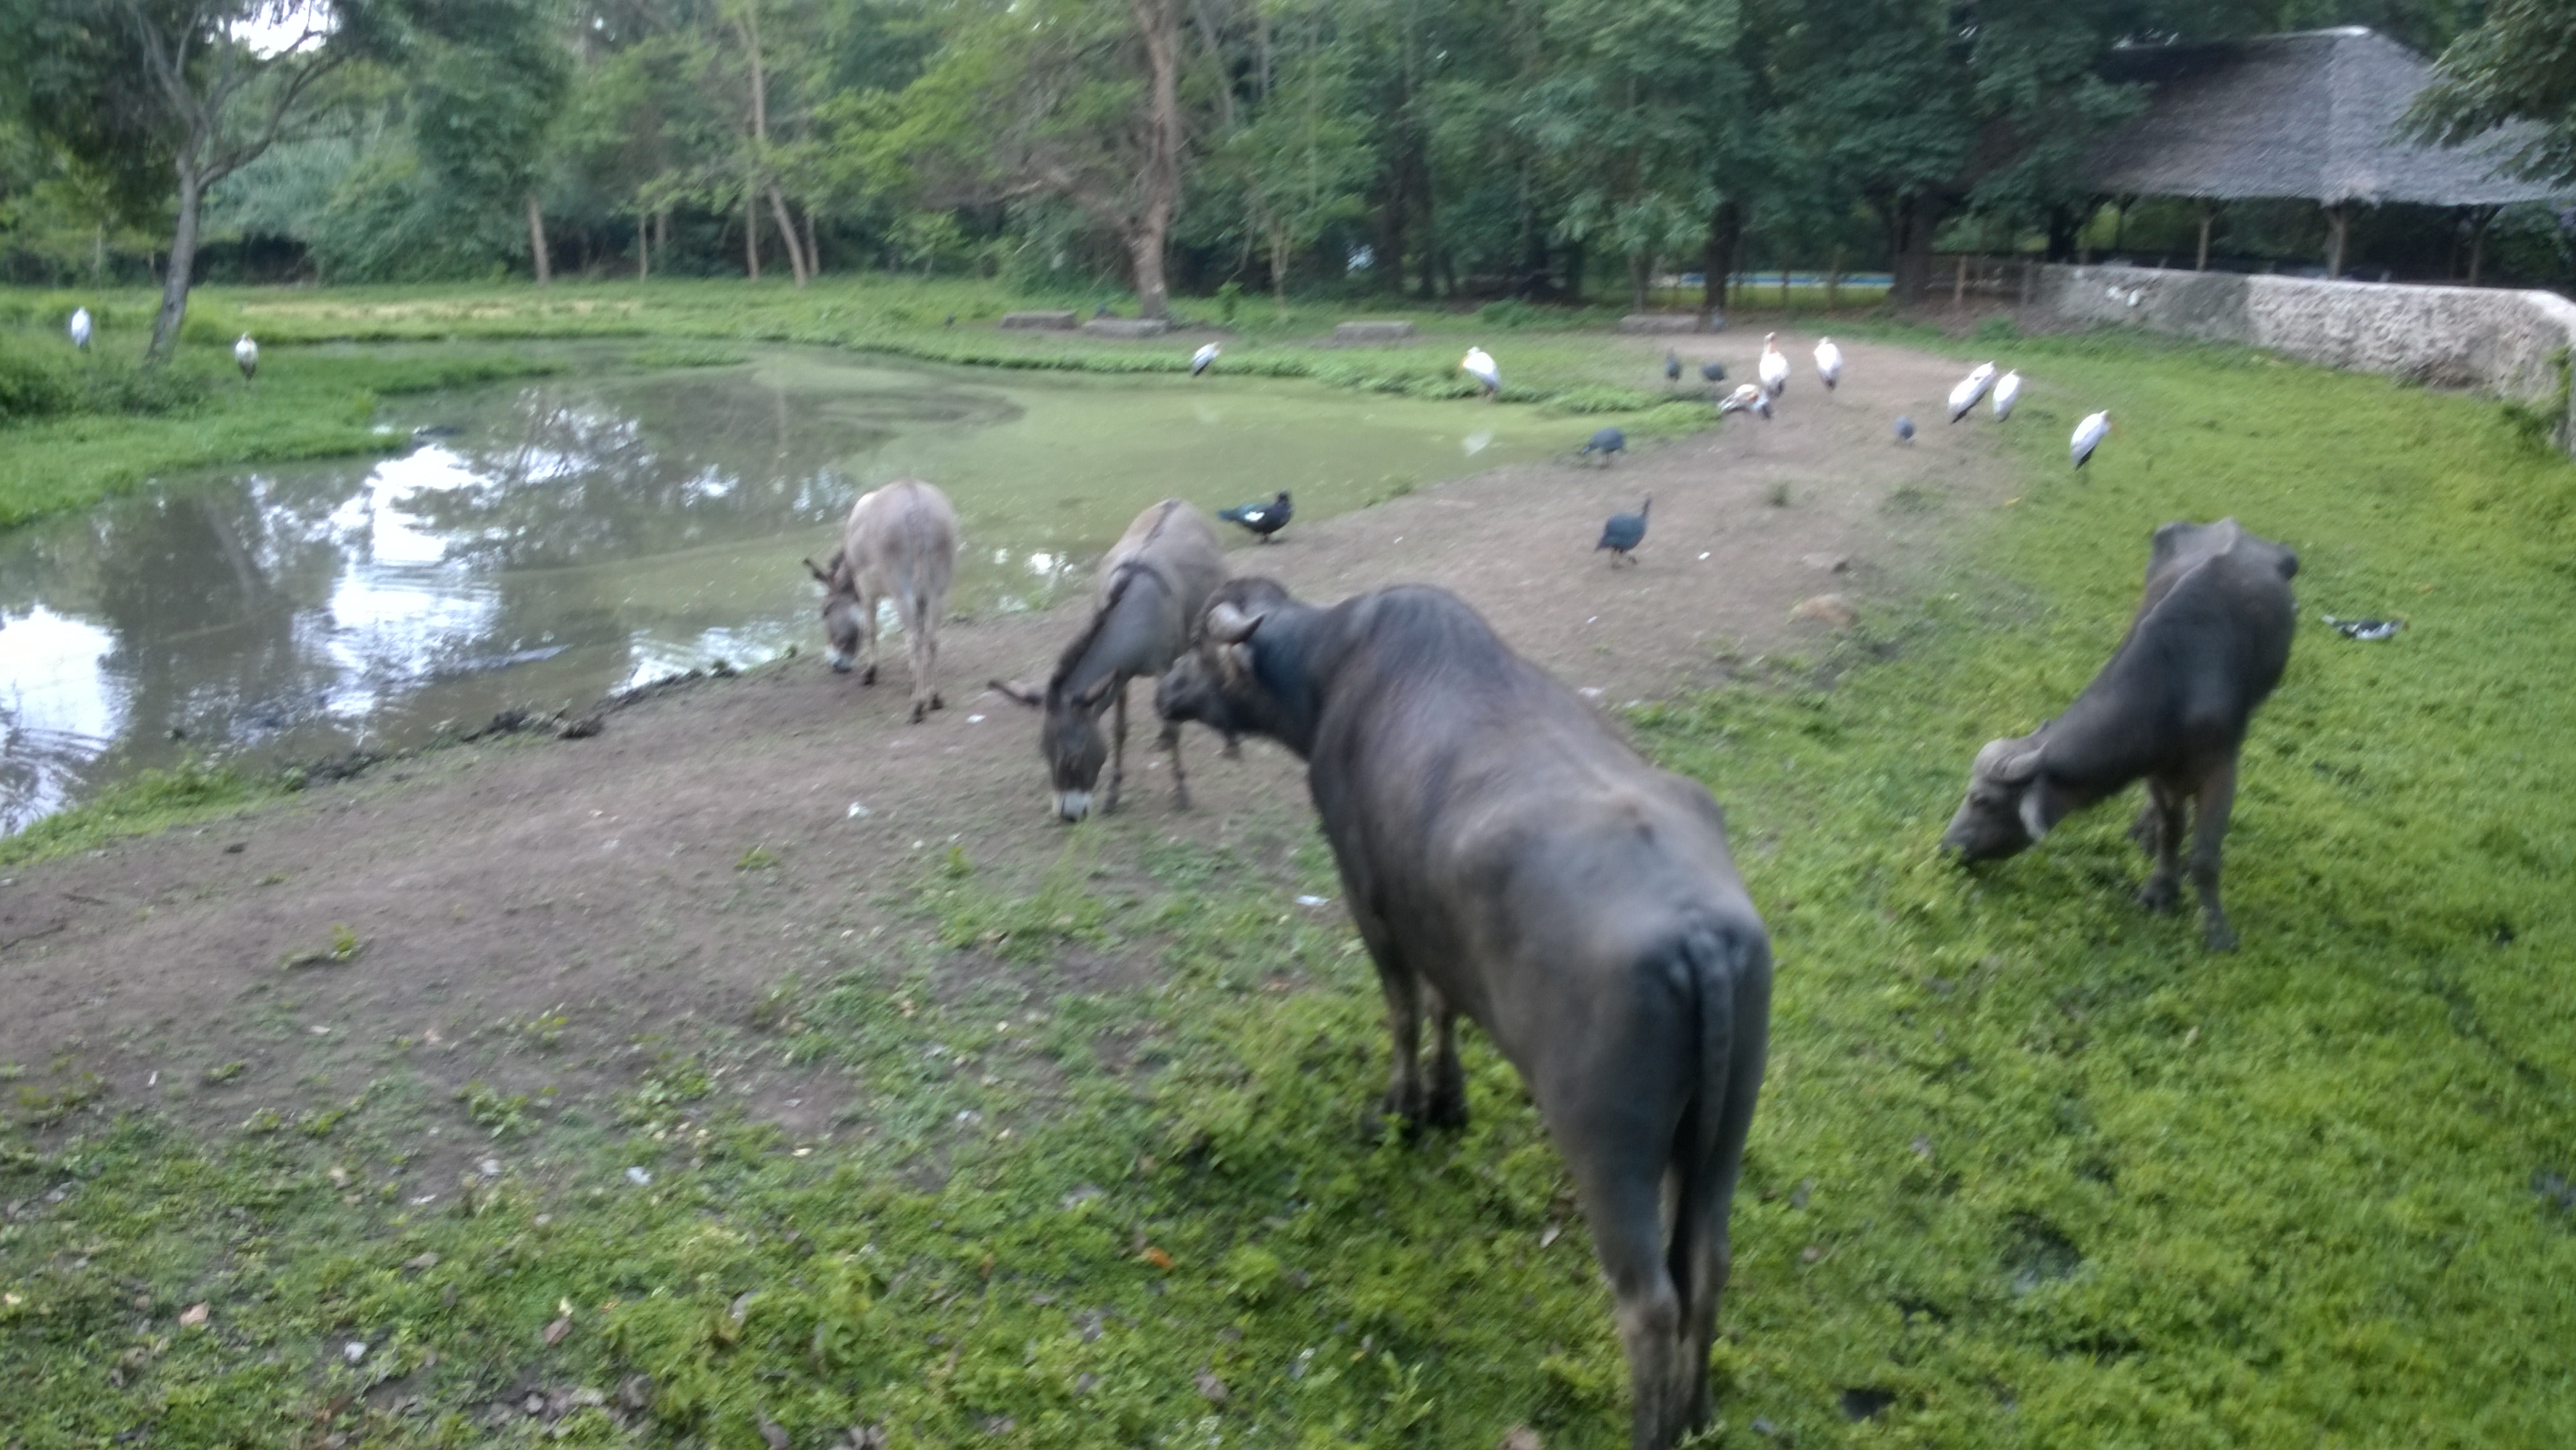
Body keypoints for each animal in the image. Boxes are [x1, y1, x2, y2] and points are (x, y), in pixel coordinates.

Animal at [803, 480, 959, 722]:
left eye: (825, 611)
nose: (835, 665)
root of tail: (914, 499)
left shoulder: (865, 591)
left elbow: (871, 630)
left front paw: (871, 673)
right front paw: (914, 676)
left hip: (903, 591)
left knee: (915, 639)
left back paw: (917, 707)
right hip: (938, 590)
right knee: (931, 638)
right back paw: (935, 698)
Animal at [996, 499, 1225, 820]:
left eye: (1073, 757)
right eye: (1044, 754)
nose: (1068, 818)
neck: (1135, 613)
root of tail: (1176, 501)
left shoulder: (1161, 667)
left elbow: (1172, 727)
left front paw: (1181, 791)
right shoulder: (1120, 676)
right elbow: (1119, 731)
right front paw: (1114, 794)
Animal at [1157, 578, 1771, 1450]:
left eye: (1197, 649)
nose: (1164, 688)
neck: (1333, 669)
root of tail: (1701, 937)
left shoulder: (1371, 905)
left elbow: (1405, 1012)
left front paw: (1402, 1107)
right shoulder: (1436, 929)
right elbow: (1446, 1004)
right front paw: (1449, 1101)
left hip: (1608, 1150)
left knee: (1649, 1302)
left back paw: (1650, 1426)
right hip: (1723, 1127)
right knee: (1709, 1262)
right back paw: (1698, 1411)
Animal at [1943, 517, 2298, 949]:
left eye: (1981, 799)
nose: (1947, 847)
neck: (2174, 688)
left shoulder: (2220, 769)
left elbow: (2205, 855)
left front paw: (2216, 931)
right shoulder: (2156, 770)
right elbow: (2171, 831)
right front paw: (2160, 889)